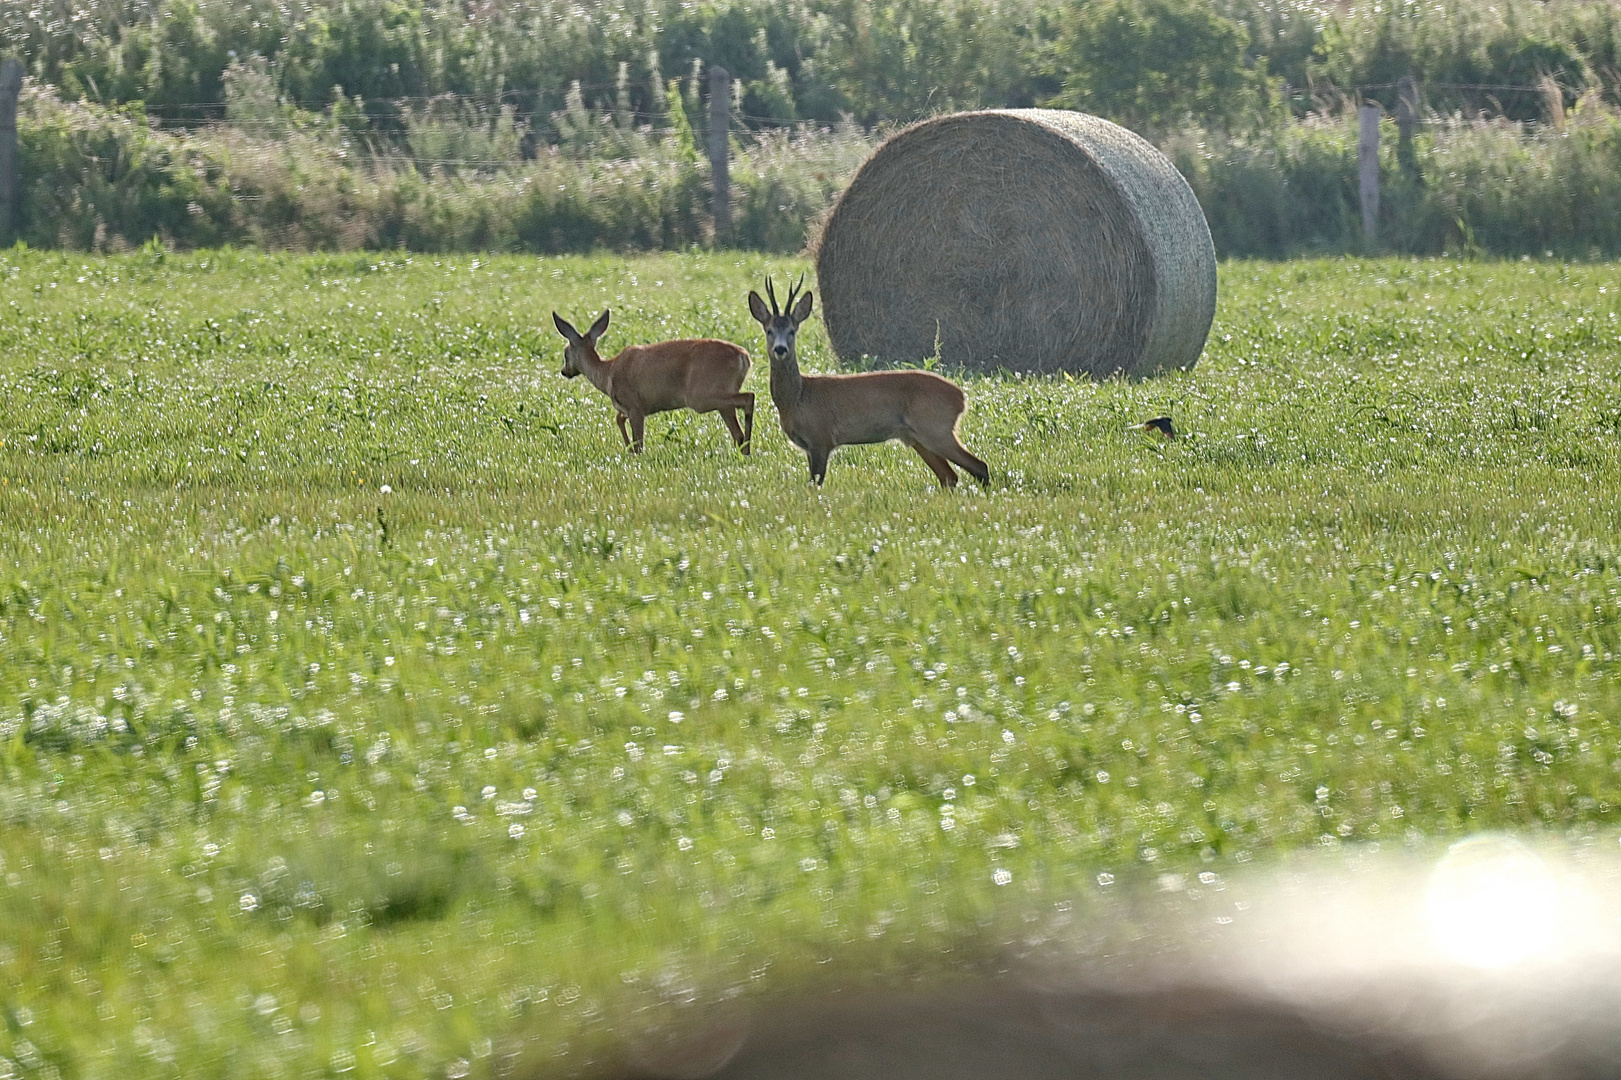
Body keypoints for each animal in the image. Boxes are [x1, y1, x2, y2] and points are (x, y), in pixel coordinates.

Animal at [554, 304, 755, 450]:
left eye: (565, 353)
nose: (564, 371)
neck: (607, 373)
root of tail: (744, 357)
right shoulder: (630, 408)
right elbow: (619, 419)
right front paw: (628, 449)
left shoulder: (635, 405)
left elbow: (638, 442)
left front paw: (633, 455)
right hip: (722, 397)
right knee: (737, 432)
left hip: (702, 395)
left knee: (749, 398)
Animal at [745, 275, 985, 486]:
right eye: (769, 330)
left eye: (792, 331)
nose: (780, 349)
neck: (798, 397)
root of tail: (961, 397)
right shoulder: (809, 447)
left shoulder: (821, 437)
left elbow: (816, 483)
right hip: (919, 438)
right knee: (950, 477)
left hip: (936, 428)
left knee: (978, 466)